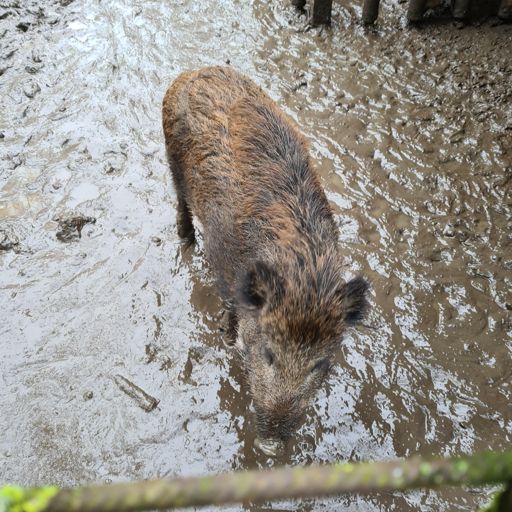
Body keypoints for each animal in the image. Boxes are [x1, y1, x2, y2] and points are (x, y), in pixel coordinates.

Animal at [162, 66, 369, 446]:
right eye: (269, 354)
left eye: (319, 365)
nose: (271, 445)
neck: (304, 271)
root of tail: (192, 72)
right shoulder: (223, 265)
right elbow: (229, 311)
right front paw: (227, 339)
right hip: (172, 159)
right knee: (180, 201)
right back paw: (185, 242)